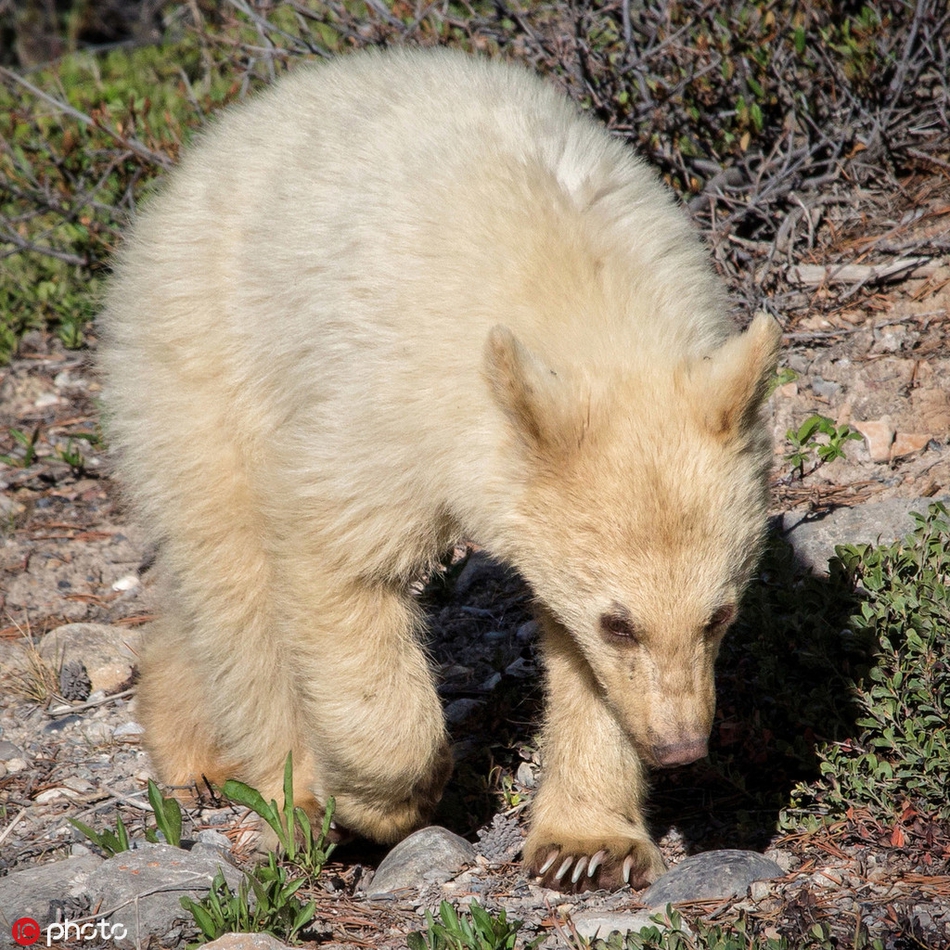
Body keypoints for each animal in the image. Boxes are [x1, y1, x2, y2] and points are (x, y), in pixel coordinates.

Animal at [98, 46, 780, 892]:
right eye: (618, 622)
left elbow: (574, 659)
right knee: (235, 580)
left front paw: (589, 847)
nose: (682, 744)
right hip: (205, 356)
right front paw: (389, 801)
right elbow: (339, 557)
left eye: (719, 614)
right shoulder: (388, 394)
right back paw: (279, 791)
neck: (572, 271)